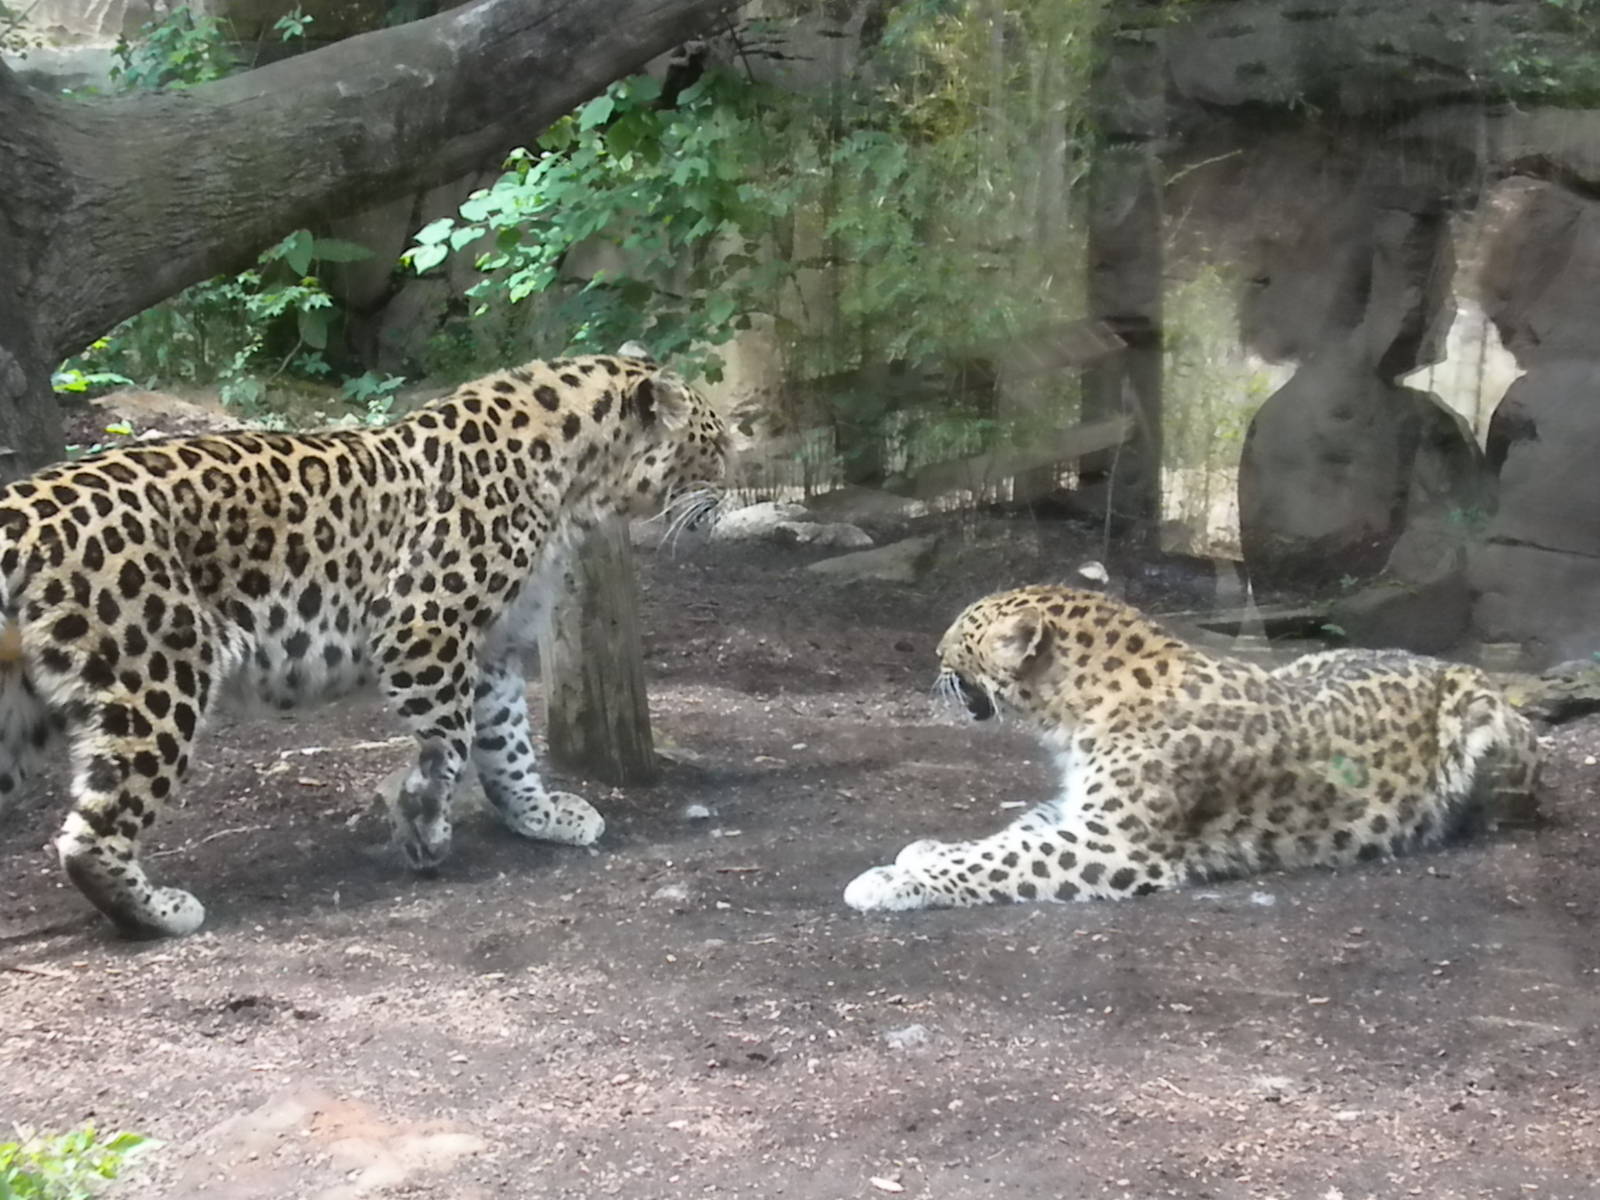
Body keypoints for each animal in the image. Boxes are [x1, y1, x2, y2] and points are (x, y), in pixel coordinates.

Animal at [0, 351, 733, 937]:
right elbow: (451, 741)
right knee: (91, 833)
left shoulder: (491, 647)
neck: (578, 478)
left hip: (21, 710)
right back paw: (160, 913)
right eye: (716, 442)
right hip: (157, 676)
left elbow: (508, 744)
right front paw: (426, 829)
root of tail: (21, 507)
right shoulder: (423, 628)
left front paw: (540, 815)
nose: (732, 485)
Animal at [845, 584, 1541, 912]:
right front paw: (924, 852)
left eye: (964, 634)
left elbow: (1003, 860)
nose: (932, 653)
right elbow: (1007, 836)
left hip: (1479, 717)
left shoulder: (1115, 843)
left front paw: (889, 881)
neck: (1072, 715)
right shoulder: (1075, 812)